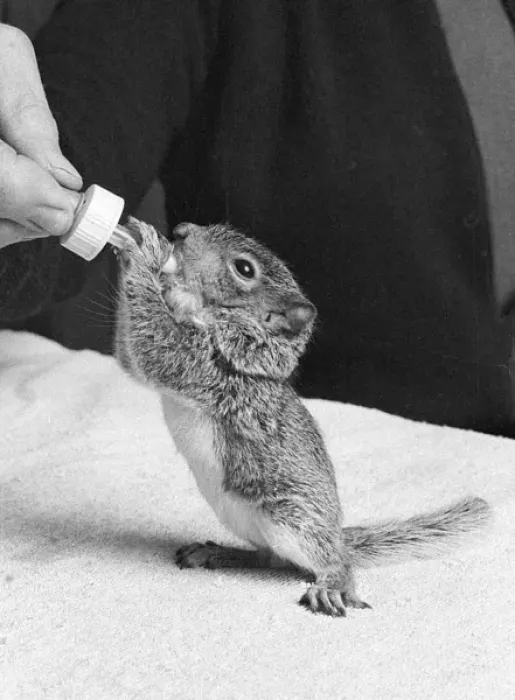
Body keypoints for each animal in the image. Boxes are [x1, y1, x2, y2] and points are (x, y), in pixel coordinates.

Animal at [114, 218, 491, 617]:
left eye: (244, 269)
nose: (181, 231)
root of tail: (337, 536)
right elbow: (132, 353)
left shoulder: (213, 371)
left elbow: (156, 348)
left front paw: (145, 253)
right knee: (270, 559)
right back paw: (218, 553)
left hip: (291, 518)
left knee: (328, 561)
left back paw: (333, 585)